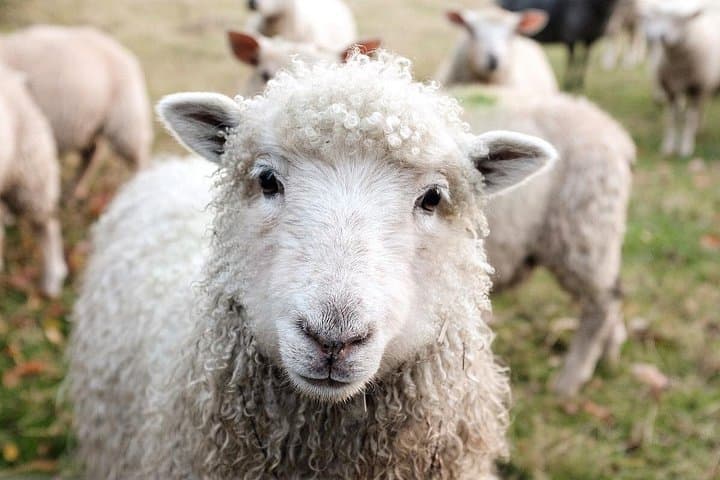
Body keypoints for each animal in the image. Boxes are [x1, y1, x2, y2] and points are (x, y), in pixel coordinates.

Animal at [0, 25, 153, 198]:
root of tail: (122, 51)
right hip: (89, 124)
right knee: (91, 155)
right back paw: (74, 191)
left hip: (126, 120)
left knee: (139, 158)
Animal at [641, 1, 720, 157]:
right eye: (659, 16)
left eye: (681, 20)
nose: (660, 36)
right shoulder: (670, 88)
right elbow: (672, 118)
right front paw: (669, 146)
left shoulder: (696, 88)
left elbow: (690, 118)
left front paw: (686, 148)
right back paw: (698, 129)